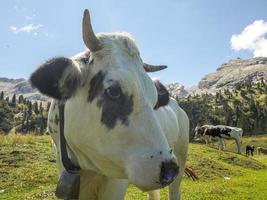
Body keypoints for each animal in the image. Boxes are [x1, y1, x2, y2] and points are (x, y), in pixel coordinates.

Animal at [30, 8, 191, 200]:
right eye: (114, 91)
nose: (168, 169)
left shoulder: (115, 184)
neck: (86, 167)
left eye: (153, 100)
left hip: (181, 156)